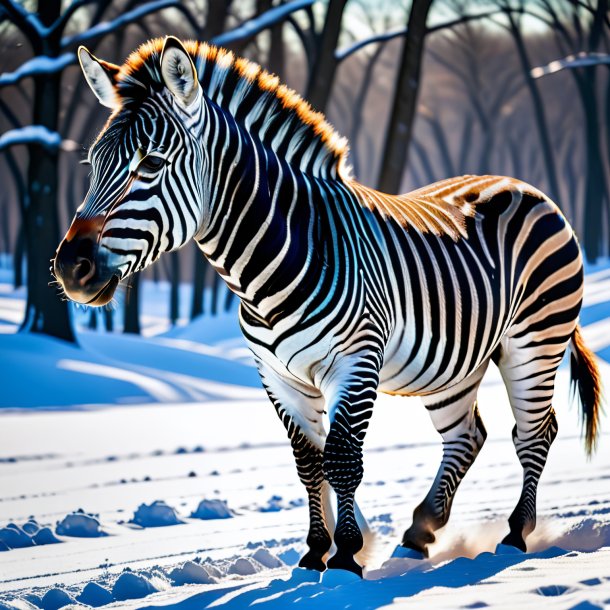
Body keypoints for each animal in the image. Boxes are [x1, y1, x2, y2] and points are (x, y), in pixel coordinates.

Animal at [54, 36, 600, 576]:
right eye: (92, 164)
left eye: (150, 164)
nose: (69, 268)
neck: (271, 266)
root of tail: (524, 186)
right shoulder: (278, 376)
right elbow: (308, 462)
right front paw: (316, 552)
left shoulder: (356, 361)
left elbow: (341, 458)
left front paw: (346, 559)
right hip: (455, 363)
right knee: (467, 436)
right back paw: (419, 533)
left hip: (535, 341)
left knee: (535, 433)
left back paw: (514, 536)